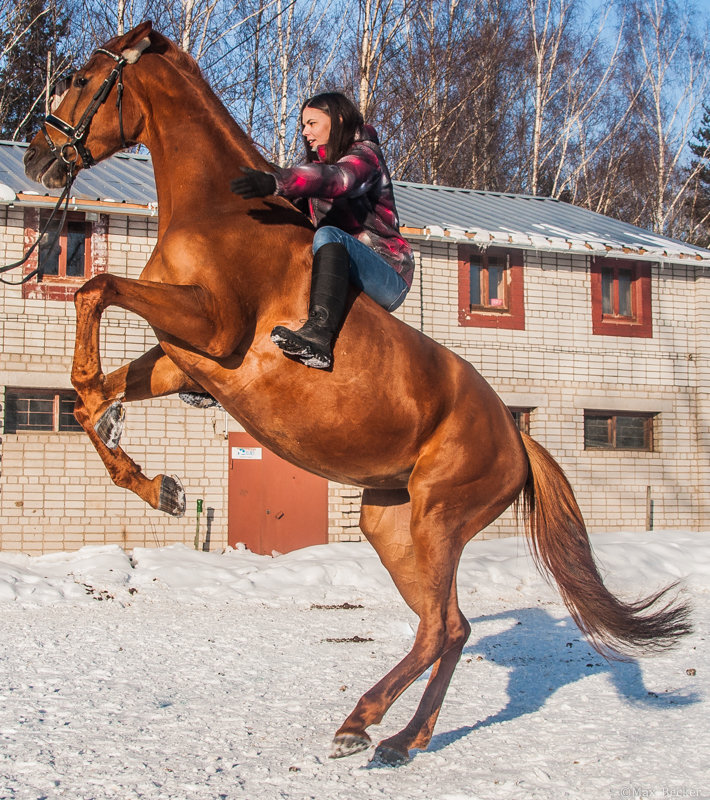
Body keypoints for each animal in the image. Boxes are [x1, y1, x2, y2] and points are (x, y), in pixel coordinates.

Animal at [23, 21, 688, 764]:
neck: (224, 209)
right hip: (389, 524)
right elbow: (91, 393)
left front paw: (110, 416)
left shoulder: (212, 328)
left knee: (440, 627)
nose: (38, 157)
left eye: (81, 80)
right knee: (451, 627)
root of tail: (516, 438)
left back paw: (362, 720)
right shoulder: (183, 362)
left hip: (438, 518)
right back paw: (400, 738)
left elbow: (94, 289)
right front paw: (153, 482)